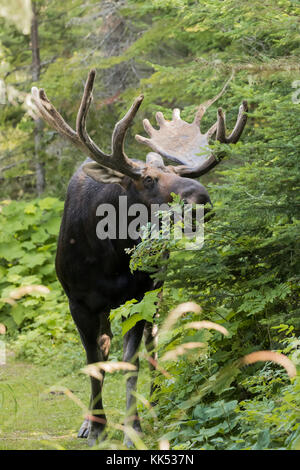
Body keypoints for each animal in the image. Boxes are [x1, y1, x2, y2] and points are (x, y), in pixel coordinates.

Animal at [30, 70, 247, 448]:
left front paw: (133, 427)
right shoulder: (79, 301)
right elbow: (94, 360)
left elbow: (130, 363)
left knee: (153, 343)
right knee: (104, 347)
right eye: (147, 179)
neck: (111, 257)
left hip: (157, 288)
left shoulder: (139, 296)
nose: (202, 199)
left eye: (182, 175)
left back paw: (156, 400)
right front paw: (96, 426)